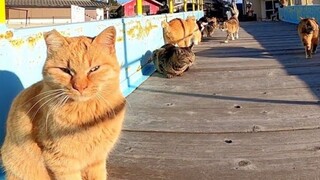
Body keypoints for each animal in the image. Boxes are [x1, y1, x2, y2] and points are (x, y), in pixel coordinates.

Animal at [0, 26, 125, 179]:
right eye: (65, 70)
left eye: (94, 69)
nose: (80, 87)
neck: (87, 117)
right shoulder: (63, 162)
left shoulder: (97, 159)